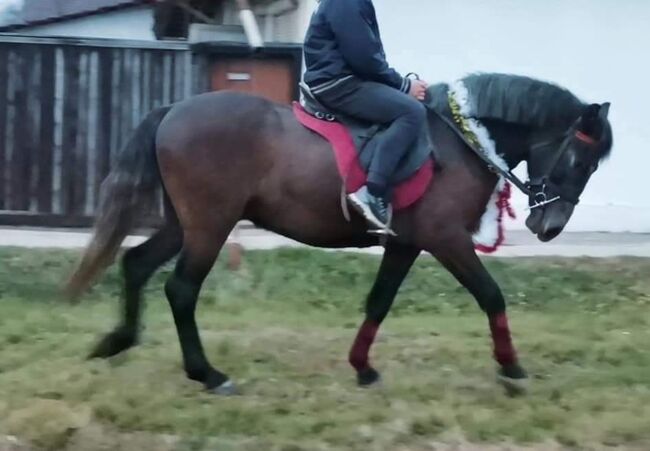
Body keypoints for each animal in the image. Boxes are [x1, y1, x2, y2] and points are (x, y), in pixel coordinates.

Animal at [67, 74, 612, 396]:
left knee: (136, 264)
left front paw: (362, 367)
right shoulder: (445, 239)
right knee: (181, 289)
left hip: (186, 224)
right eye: (579, 160)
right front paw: (511, 368)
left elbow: (379, 301)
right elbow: (490, 294)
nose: (550, 227)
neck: (459, 137)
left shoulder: (406, 243)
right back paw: (208, 374)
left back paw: (118, 340)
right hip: (209, 225)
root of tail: (174, 111)